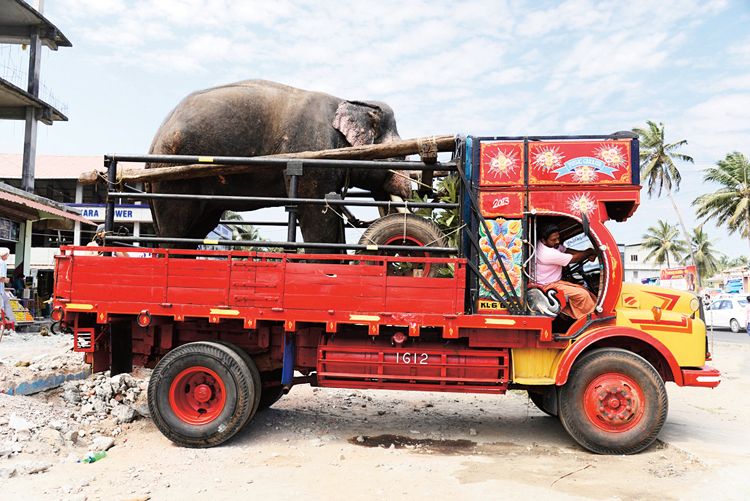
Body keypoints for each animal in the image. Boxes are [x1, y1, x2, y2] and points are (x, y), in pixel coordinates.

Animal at [146, 77, 412, 246]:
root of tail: (155, 139)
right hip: (174, 176)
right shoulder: (312, 155)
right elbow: (316, 214)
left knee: (196, 230)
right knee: (176, 229)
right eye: (402, 156)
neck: (349, 101)